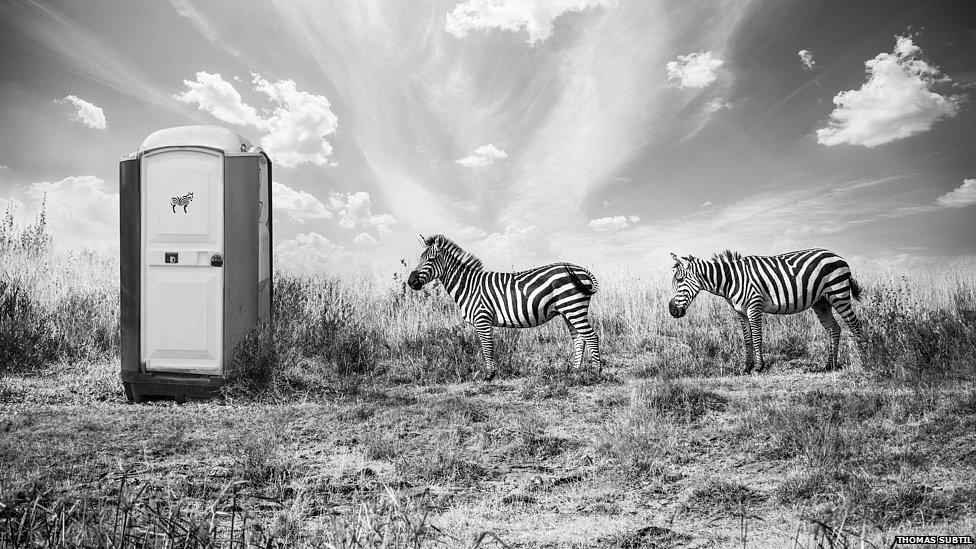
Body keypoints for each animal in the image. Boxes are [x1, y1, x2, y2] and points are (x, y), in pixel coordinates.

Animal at [407, 234, 601, 380]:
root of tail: (581, 269)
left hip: (573, 307)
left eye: (431, 259)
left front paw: (489, 375)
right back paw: (574, 371)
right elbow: (487, 347)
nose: (411, 282)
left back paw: (596, 372)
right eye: (420, 258)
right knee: (579, 339)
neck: (469, 285)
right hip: (568, 310)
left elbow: (487, 347)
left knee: (591, 337)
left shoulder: (482, 318)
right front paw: (490, 373)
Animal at [668, 248, 863, 373]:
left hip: (838, 293)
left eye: (680, 280)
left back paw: (864, 357)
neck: (732, 279)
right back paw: (830, 365)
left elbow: (757, 337)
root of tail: (836, 255)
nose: (672, 310)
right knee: (834, 329)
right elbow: (747, 339)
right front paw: (746, 367)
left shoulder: (754, 306)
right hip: (821, 302)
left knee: (855, 325)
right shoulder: (741, 312)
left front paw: (759, 367)